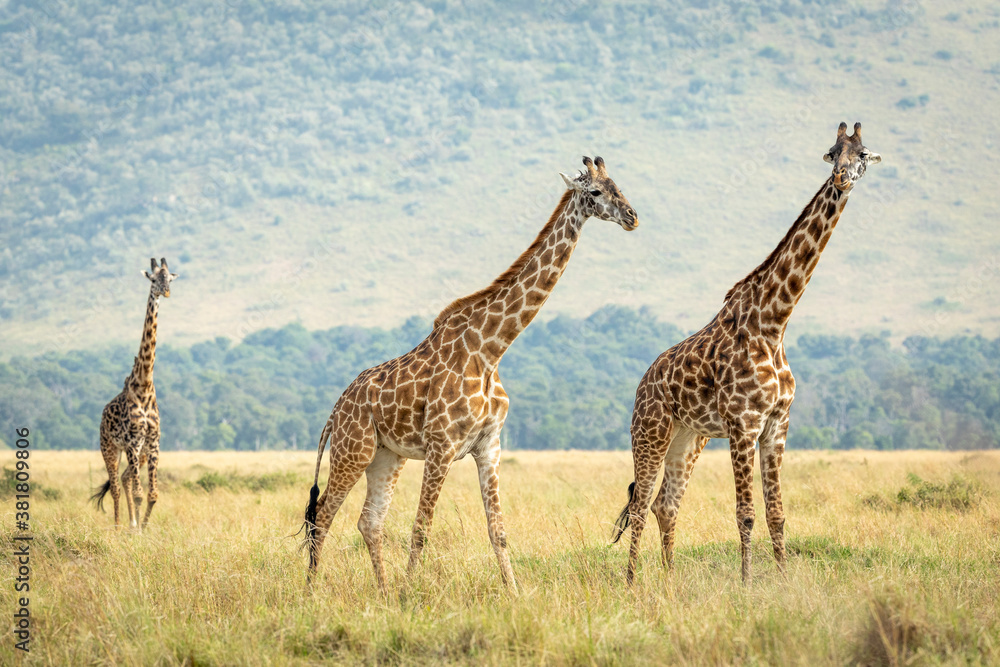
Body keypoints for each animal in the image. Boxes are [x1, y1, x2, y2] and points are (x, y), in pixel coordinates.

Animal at [91, 258, 178, 530]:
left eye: (170, 278)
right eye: (154, 279)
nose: (166, 292)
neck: (144, 384)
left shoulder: (153, 443)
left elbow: (153, 494)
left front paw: (143, 528)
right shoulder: (131, 441)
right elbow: (141, 494)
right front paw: (139, 531)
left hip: (138, 455)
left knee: (125, 478)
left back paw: (131, 525)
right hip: (109, 447)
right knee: (116, 486)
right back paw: (120, 527)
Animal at [304, 157, 638, 595]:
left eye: (619, 185)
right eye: (596, 192)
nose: (632, 217)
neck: (490, 350)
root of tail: (334, 410)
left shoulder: (489, 446)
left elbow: (498, 530)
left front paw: (513, 593)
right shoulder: (441, 446)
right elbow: (421, 528)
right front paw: (410, 595)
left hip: (386, 456)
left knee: (368, 521)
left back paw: (383, 592)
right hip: (352, 449)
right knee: (323, 515)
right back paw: (311, 592)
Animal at [612, 122, 881, 584]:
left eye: (862, 153)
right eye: (832, 152)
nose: (842, 178)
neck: (774, 323)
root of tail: (643, 383)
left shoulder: (777, 424)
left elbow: (776, 514)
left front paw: (785, 580)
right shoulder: (744, 425)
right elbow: (746, 514)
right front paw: (747, 582)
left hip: (689, 438)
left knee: (667, 504)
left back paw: (669, 581)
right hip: (649, 432)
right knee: (642, 504)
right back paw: (631, 584)